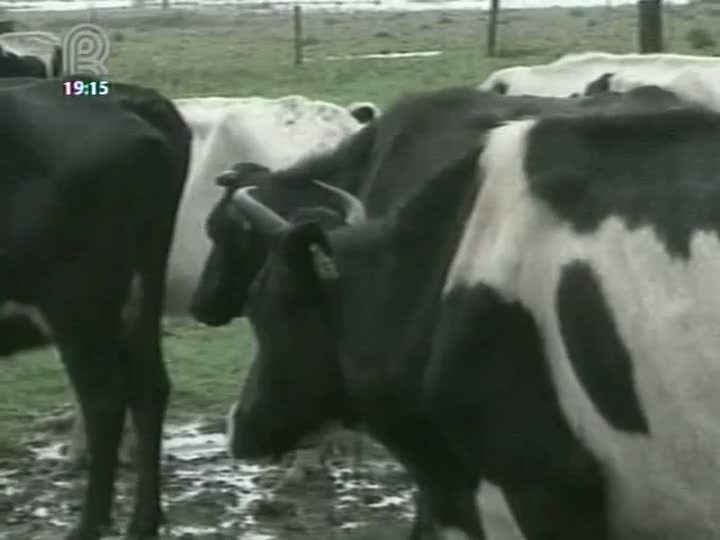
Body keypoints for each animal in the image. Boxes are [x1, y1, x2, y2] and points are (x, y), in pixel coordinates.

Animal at [0, 77, 191, 540]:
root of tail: (125, 96)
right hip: (139, 294)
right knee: (149, 387)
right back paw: (143, 522)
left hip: (76, 300)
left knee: (104, 399)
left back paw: (90, 524)